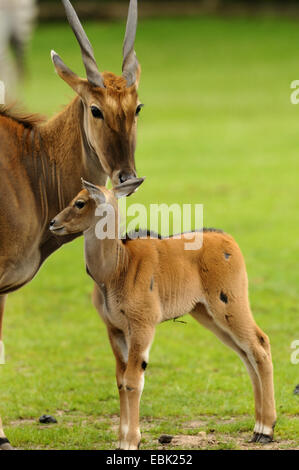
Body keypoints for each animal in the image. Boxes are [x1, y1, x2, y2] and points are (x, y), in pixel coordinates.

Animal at [50, 178, 278, 450]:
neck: (117, 268)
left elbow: (132, 381)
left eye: (80, 202)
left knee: (259, 345)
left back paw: (265, 430)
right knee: (246, 354)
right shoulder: (114, 330)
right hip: (208, 315)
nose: (53, 223)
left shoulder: (143, 326)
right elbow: (120, 380)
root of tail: (226, 239)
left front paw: (130, 441)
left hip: (229, 306)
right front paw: (123, 439)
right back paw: (258, 427)